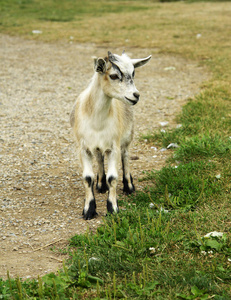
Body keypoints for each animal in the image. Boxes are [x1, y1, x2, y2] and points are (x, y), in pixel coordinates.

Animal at [70, 51, 152, 220]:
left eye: (133, 73)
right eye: (114, 75)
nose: (136, 95)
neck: (97, 121)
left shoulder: (114, 146)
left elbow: (113, 177)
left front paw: (113, 208)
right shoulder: (83, 148)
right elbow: (87, 178)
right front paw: (89, 209)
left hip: (127, 137)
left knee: (126, 156)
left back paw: (128, 186)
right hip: (98, 146)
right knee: (100, 158)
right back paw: (101, 184)